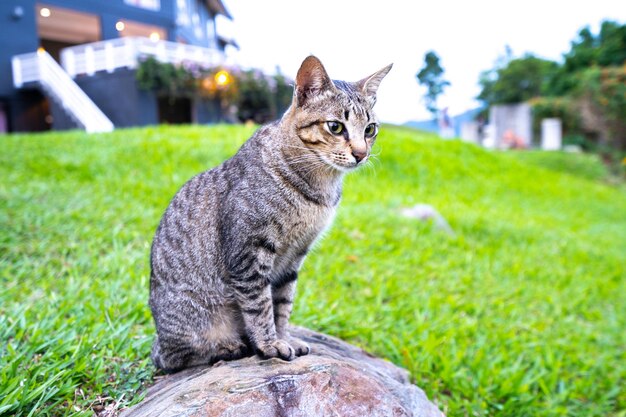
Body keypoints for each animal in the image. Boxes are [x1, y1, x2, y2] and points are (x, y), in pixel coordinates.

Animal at [149, 55, 390, 370]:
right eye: (336, 127)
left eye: (370, 129)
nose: (361, 154)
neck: (319, 190)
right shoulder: (248, 252)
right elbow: (260, 305)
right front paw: (269, 344)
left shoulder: (293, 257)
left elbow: (282, 305)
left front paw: (284, 337)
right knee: (172, 357)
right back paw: (227, 346)